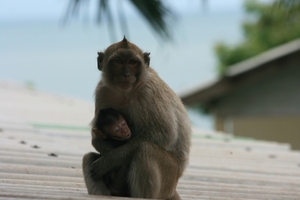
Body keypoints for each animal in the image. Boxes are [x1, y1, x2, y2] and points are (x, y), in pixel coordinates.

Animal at [82, 36, 190, 199]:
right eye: (119, 62)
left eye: (132, 62)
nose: (126, 74)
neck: (126, 92)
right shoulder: (103, 90)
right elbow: (97, 136)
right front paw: (108, 155)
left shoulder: (150, 91)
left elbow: (165, 135)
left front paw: (109, 160)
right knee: (88, 157)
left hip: (169, 177)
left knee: (145, 149)